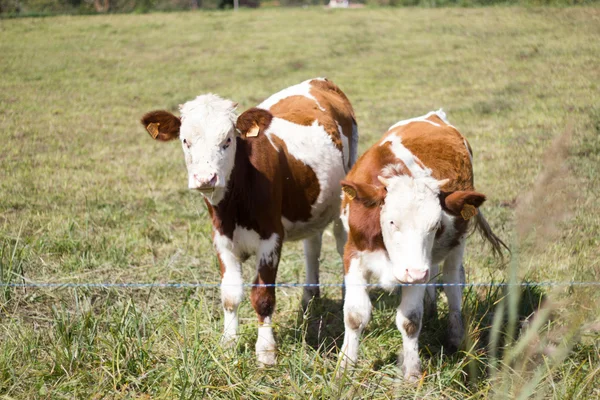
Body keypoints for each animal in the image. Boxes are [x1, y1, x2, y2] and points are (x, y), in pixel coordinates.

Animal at [139, 77, 356, 366]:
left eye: (228, 140)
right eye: (185, 141)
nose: (205, 178)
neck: (234, 206)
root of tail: (319, 81)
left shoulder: (271, 238)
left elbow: (263, 296)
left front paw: (266, 351)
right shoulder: (222, 240)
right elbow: (230, 296)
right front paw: (228, 344)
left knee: (341, 244)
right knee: (312, 246)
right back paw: (310, 295)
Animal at [340, 109, 504, 382]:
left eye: (436, 225)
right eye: (392, 221)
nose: (416, 272)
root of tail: (434, 115)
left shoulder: (417, 270)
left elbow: (410, 321)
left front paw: (412, 372)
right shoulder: (353, 254)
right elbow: (355, 315)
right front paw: (345, 365)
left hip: (455, 247)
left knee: (453, 282)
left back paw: (455, 334)